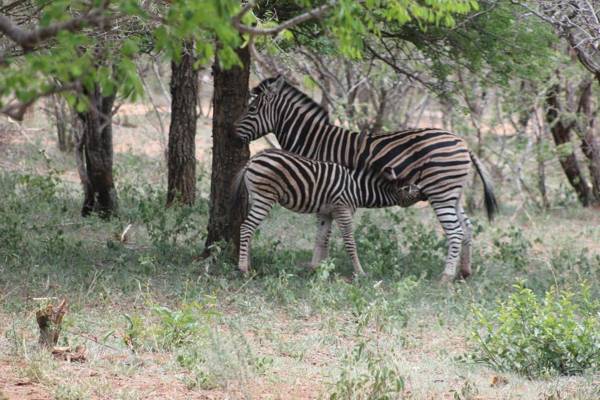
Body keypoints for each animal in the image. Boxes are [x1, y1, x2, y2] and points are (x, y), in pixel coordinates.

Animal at [232, 147, 420, 276]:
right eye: (408, 188)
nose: (424, 193)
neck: (357, 188)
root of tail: (253, 159)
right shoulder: (342, 209)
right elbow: (350, 242)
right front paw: (360, 272)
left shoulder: (325, 213)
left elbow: (321, 239)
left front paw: (316, 269)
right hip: (265, 198)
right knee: (246, 227)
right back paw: (243, 268)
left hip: (256, 198)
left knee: (250, 228)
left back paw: (249, 264)